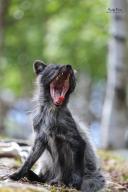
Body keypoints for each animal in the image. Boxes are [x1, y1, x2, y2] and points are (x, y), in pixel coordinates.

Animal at [9, 59, 105, 190]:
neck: (51, 112)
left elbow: (76, 169)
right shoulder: (41, 139)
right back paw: (38, 177)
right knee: (44, 177)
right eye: (55, 67)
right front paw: (17, 175)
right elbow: (28, 161)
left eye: (72, 71)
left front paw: (74, 184)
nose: (69, 66)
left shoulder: (77, 141)